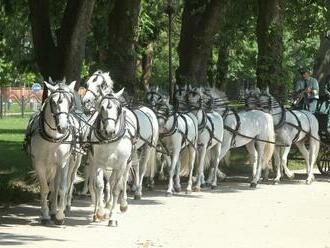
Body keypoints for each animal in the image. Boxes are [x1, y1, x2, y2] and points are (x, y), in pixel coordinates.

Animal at [24, 80, 80, 225]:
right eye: (53, 102)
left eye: (70, 101)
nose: (63, 127)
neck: (53, 138)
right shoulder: (39, 163)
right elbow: (45, 189)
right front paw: (45, 215)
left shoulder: (63, 162)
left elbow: (62, 187)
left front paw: (60, 216)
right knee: (53, 186)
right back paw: (52, 209)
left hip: (72, 163)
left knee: (67, 182)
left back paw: (63, 207)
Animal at [83, 70, 159, 200]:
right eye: (87, 84)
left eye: (100, 85)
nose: (85, 102)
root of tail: (149, 111)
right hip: (135, 148)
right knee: (136, 166)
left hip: (148, 145)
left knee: (142, 167)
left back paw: (138, 191)